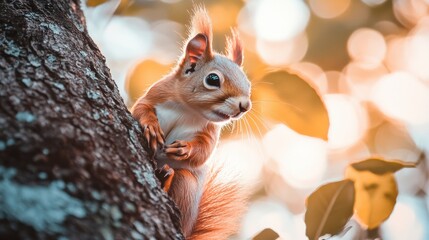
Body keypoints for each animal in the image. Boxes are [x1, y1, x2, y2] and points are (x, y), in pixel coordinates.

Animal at [130, 6, 251, 239]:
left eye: (248, 84)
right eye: (213, 79)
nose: (245, 106)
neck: (188, 110)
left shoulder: (209, 131)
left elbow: (203, 151)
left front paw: (184, 148)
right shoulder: (155, 95)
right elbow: (140, 109)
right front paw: (151, 126)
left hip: (186, 184)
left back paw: (165, 177)